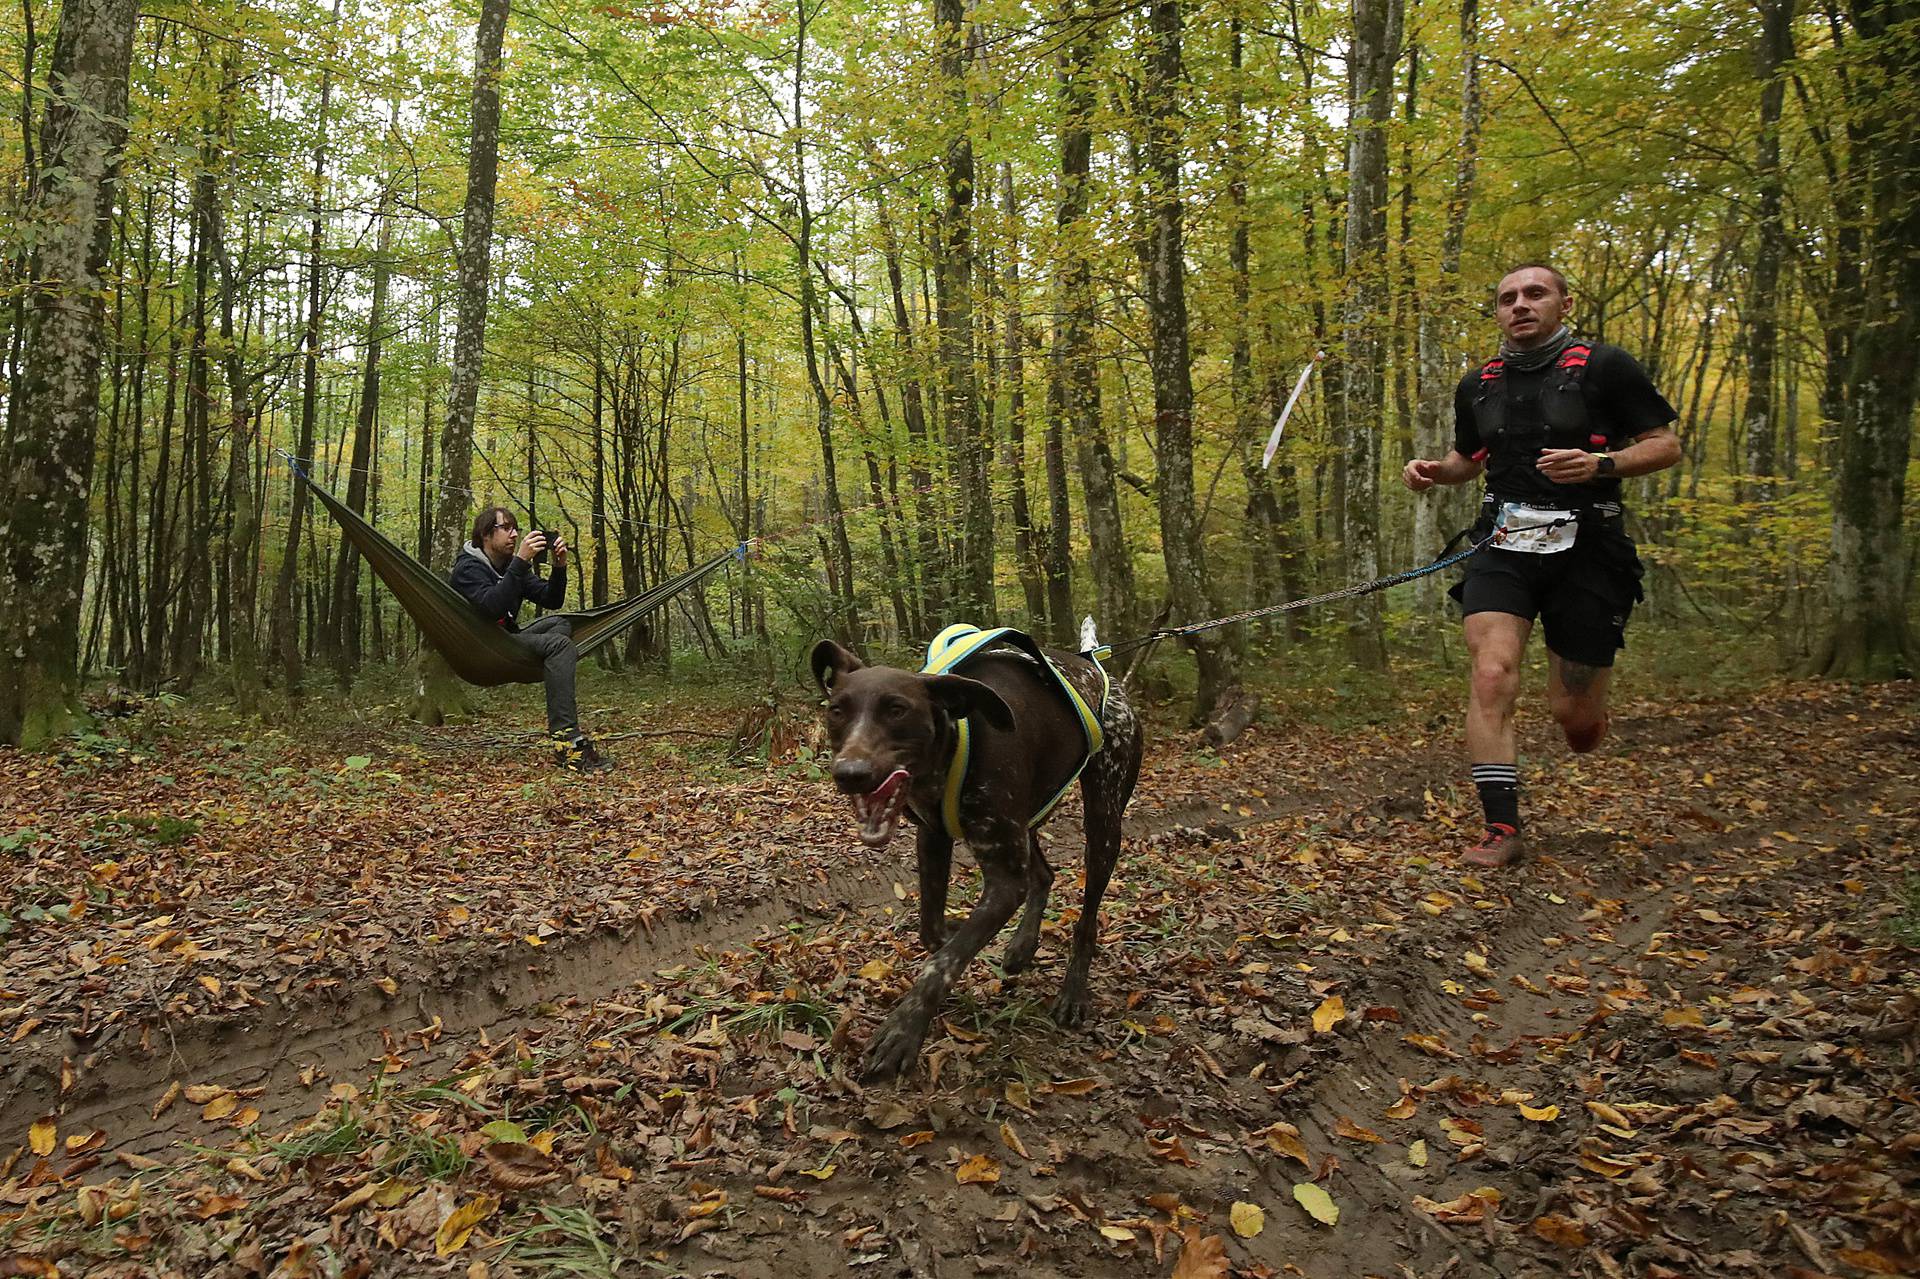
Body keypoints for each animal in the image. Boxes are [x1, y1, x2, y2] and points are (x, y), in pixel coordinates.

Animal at [810, 626, 1136, 1075]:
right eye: (837, 711)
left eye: (897, 710)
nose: (850, 774)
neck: (953, 746)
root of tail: (1094, 665)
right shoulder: (933, 839)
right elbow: (933, 932)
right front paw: (953, 933)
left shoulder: (1004, 880)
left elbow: (943, 961)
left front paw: (903, 1031)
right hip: (1028, 817)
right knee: (1043, 874)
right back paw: (1022, 946)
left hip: (1103, 821)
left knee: (1086, 917)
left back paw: (1073, 992)